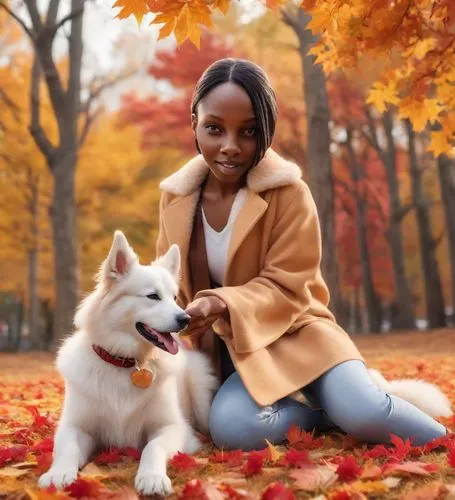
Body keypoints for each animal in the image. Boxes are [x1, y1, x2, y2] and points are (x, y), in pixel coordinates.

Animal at [39, 231, 219, 496]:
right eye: (153, 296)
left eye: (174, 297)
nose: (185, 318)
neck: (126, 364)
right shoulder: (76, 426)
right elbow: (67, 448)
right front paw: (58, 473)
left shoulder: (172, 426)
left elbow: (152, 448)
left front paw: (152, 476)